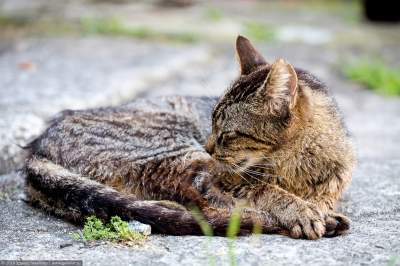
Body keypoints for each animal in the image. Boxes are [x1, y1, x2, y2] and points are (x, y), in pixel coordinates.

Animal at [23, 34, 354, 239]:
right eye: (211, 123)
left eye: (227, 133)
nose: (208, 146)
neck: (295, 168)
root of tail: (39, 145)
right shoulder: (225, 177)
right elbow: (266, 191)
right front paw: (300, 211)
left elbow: (319, 199)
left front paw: (317, 208)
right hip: (176, 151)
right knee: (209, 206)